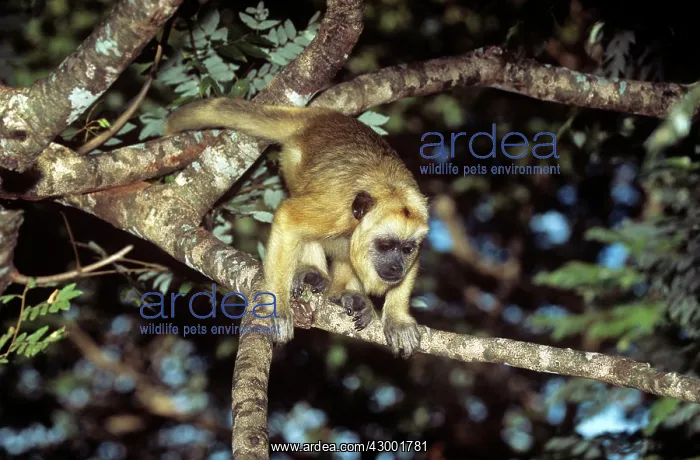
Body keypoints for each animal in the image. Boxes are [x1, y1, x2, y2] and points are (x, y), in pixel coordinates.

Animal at [164, 97, 429, 358]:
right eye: (386, 245)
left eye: (406, 249)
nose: (396, 268)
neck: (389, 191)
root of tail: (322, 116)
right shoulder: (335, 211)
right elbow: (289, 218)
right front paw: (278, 308)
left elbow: (416, 261)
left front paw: (397, 318)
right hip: (293, 161)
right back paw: (314, 272)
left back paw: (345, 294)